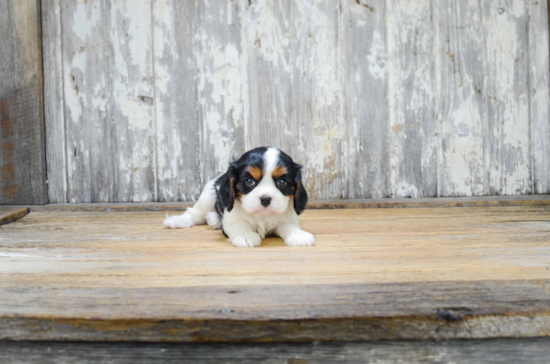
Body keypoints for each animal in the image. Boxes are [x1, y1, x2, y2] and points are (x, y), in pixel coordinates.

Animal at [163, 147, 314, 247]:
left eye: (282, 182)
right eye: (249, 181)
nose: (265, 199)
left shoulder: (287, 218)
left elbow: (290, 226)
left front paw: (298, 235)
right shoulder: (232, 219)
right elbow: (240, 226)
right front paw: (245, 236)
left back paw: (213, 220)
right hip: (208, 195)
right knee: (194, 213)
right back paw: (177, 221)